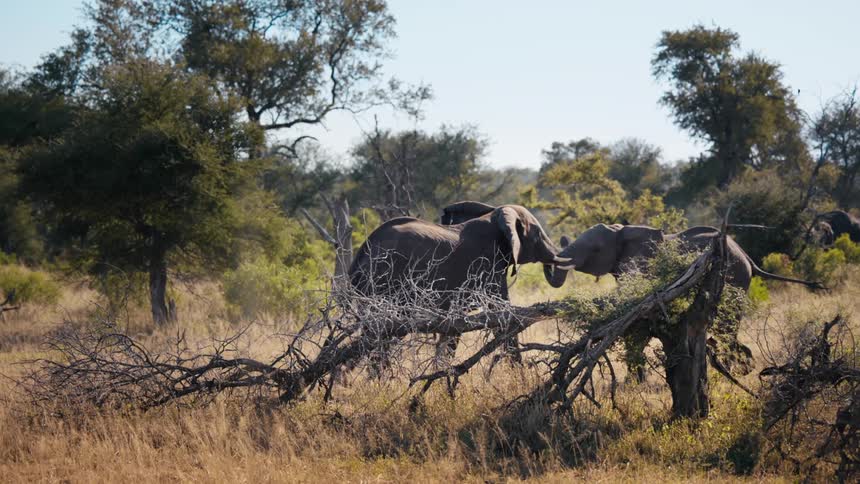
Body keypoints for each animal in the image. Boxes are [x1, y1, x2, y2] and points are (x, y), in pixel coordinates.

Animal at [349, 204, 573, 366]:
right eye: (537, 234)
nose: (564, 238)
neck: (495, 215)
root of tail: (361, 255)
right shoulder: (486, 265)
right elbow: (502, 314)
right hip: (383, 281)